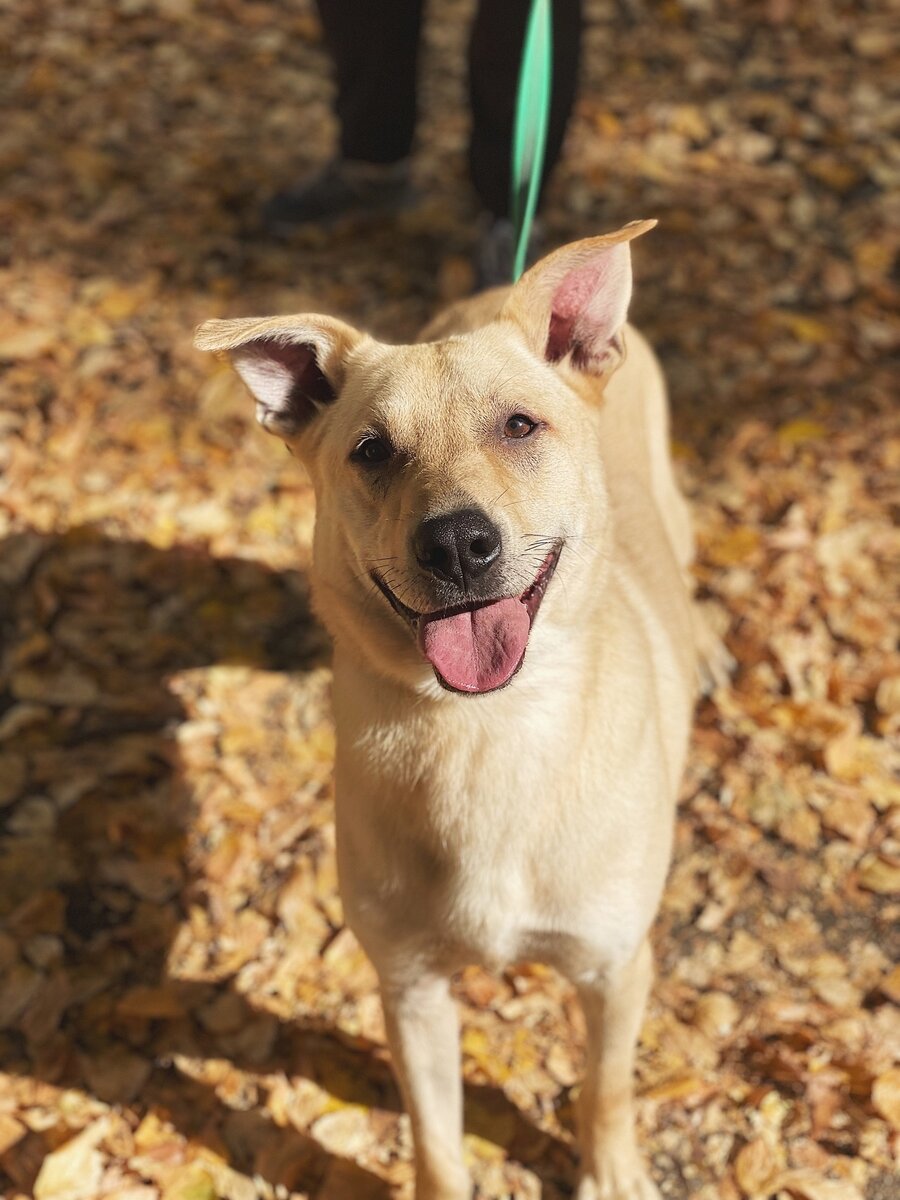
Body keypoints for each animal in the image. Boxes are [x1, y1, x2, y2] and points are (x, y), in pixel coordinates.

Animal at [194, 220, 724, 1195]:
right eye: (371, 450)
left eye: (518, 425)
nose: (455, 544)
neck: (484, 732)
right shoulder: (409, 988)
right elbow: (437, 1139)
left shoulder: (614, 967)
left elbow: (606, 1088)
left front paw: (611, 1173)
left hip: (671, 497)